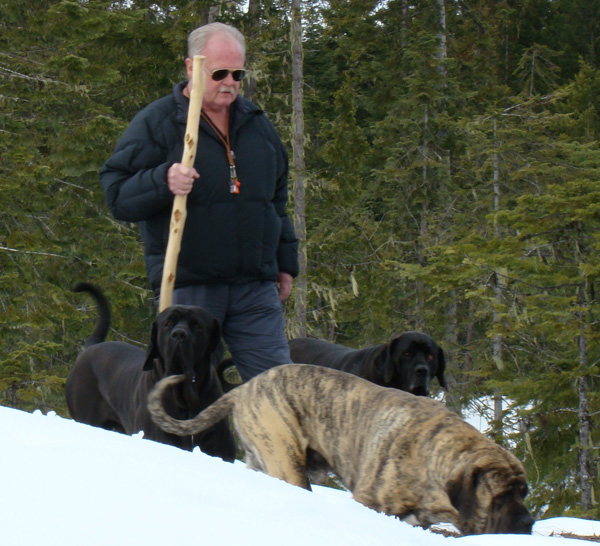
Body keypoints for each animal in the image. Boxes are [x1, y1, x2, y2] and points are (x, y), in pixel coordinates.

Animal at [150, 364, 536, 532]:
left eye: (524, 493)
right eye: (500, 497)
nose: (528, 521)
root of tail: (246, 387)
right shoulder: (371, 502)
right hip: (287, 460)